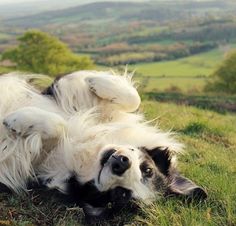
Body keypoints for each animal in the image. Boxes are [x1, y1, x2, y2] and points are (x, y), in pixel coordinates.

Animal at [0, 71, 206, 219]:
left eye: (120, 194)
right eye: (148, 170)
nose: (121, 163)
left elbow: (60, 125)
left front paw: (18, 120)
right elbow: (134, 99)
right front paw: (96, 81)